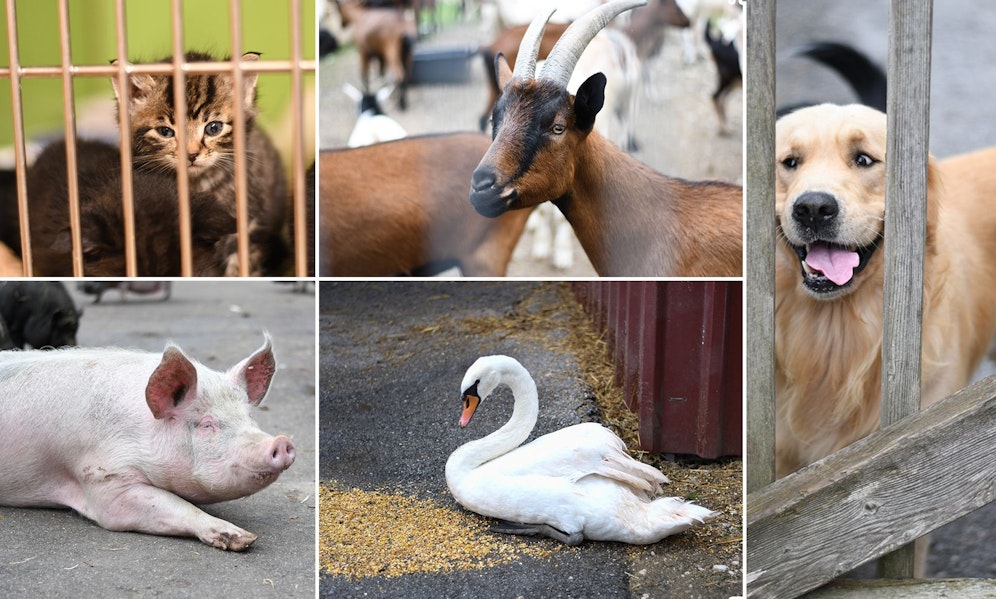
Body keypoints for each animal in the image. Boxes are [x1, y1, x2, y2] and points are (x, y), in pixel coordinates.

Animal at [0, 336, 296, 552]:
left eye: (248, 417)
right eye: (206, 424)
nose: (281, 441)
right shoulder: (103, 477)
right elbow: (171, 504)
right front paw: (244, 538)